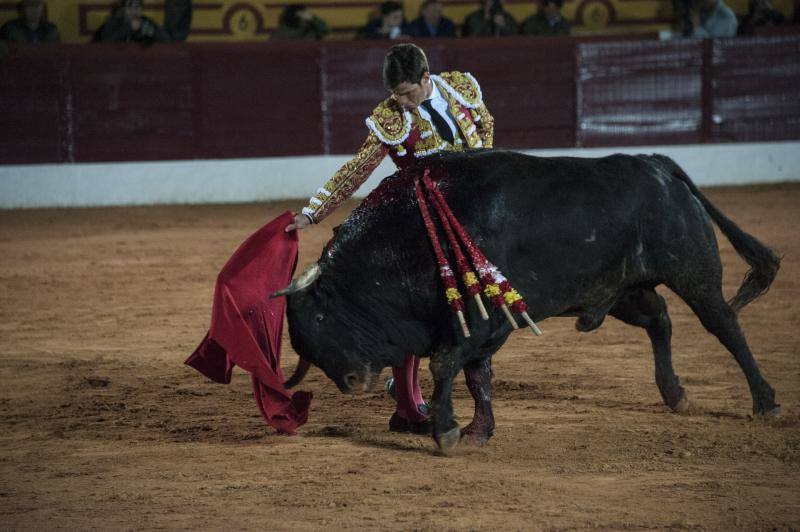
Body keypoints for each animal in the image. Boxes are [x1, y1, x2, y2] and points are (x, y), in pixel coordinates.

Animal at [276, 150, 780, 454]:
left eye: (320, 315)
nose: (351, 381)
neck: (407, 239)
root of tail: (655, 162)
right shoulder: (477, 329)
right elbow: (475, 375)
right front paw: (477, 430)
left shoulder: (479, 324)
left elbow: (446, 365)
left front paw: (447, 430)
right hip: (621, 290)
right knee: (659, 320)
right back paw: (675, 394)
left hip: (693, 272)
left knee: (724, 324)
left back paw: (765, 402)